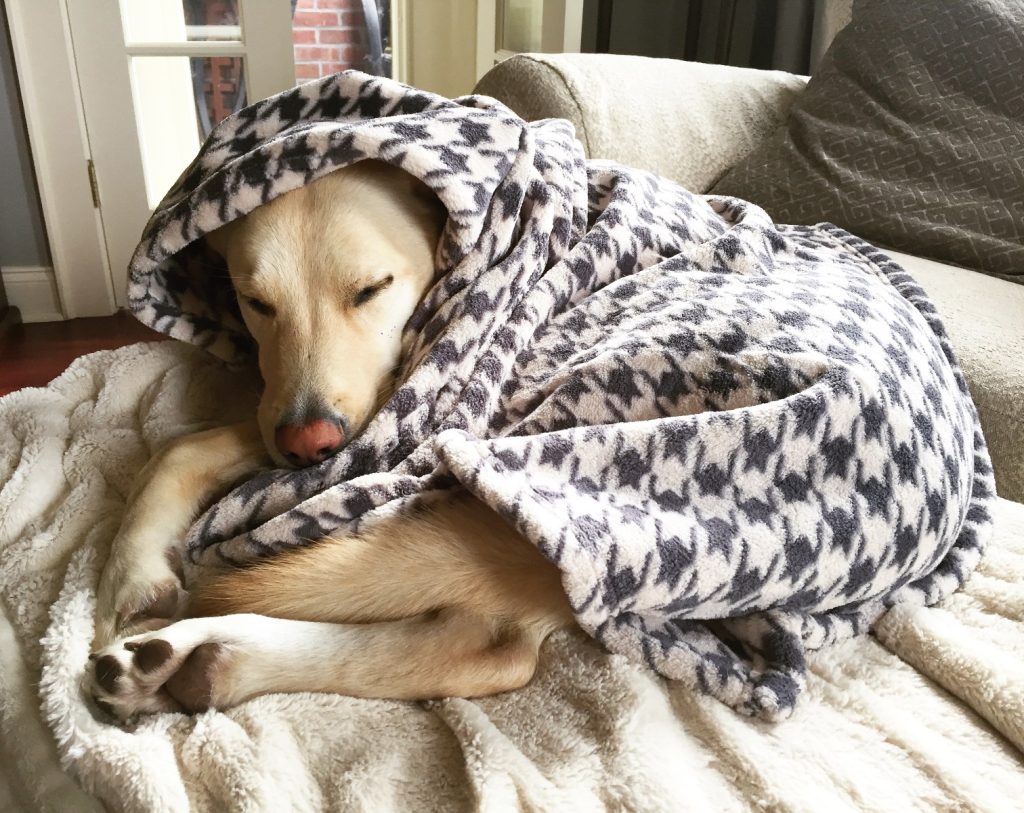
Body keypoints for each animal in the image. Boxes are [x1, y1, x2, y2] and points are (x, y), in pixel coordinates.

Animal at [89, 158, 577, 716]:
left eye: (371, 289)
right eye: (255, 302)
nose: (308, 444)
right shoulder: (281, 420)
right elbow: (178, 450)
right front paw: (132, 573)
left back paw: (197, 653)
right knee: (477, 651)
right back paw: (201, 664)